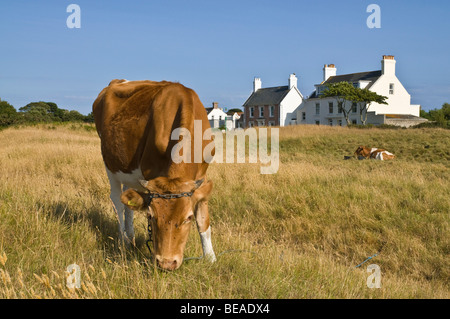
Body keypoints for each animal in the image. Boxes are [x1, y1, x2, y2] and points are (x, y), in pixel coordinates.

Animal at [92, 79, 216, 270]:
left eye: (188, 218)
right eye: (150, 216)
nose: (166, 263)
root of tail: (117, 81)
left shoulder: (201, 177)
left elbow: (203, 219)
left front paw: (210, 258)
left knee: (127, 200)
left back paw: (131, 236)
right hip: (109, 163)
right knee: (117, 201)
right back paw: (123, 242)